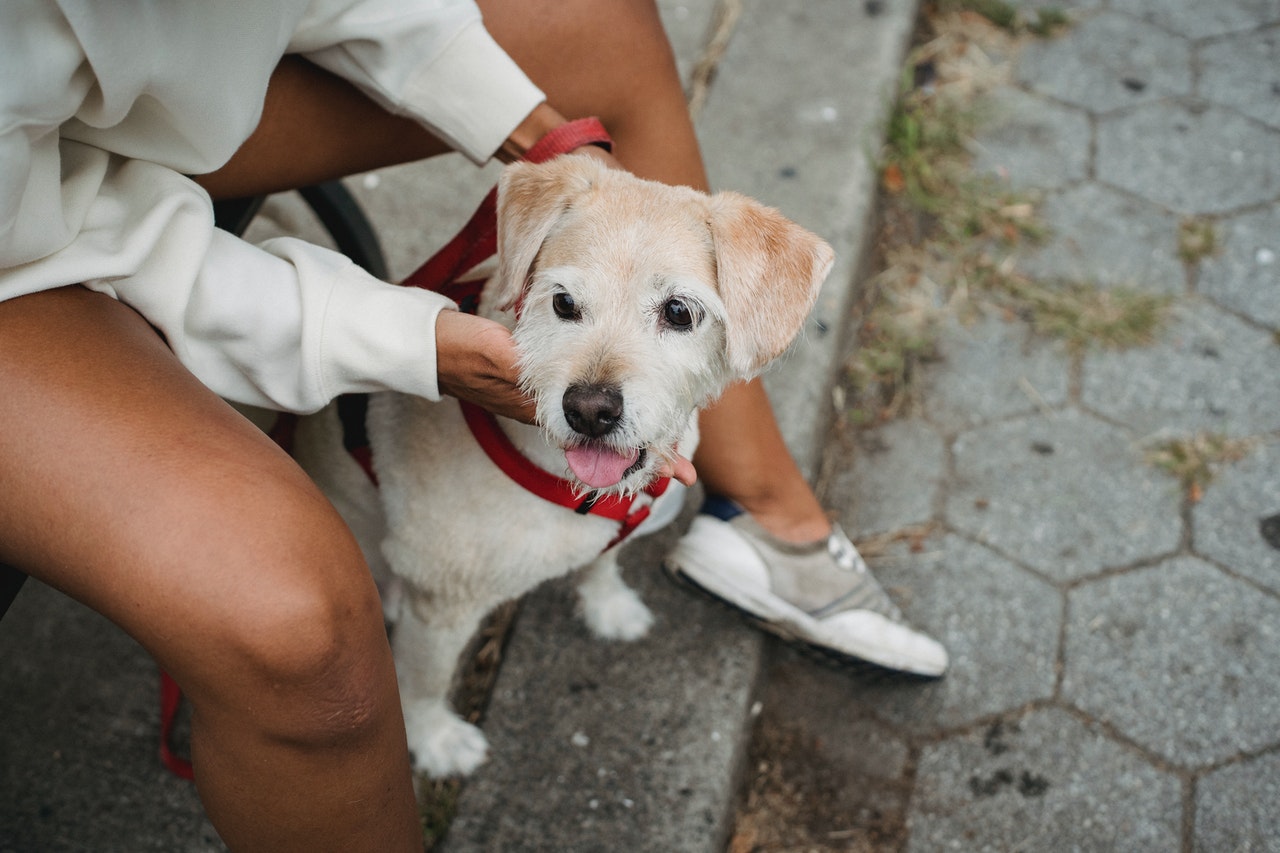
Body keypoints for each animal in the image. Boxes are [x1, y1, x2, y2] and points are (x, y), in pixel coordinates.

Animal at [293, 153, 829, 778]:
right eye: (564, 303)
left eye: (678, 311)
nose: (590, 410)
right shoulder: (443, 604)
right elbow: (423, 684)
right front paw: (433, 740)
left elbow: (603, 563)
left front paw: (609, 607)